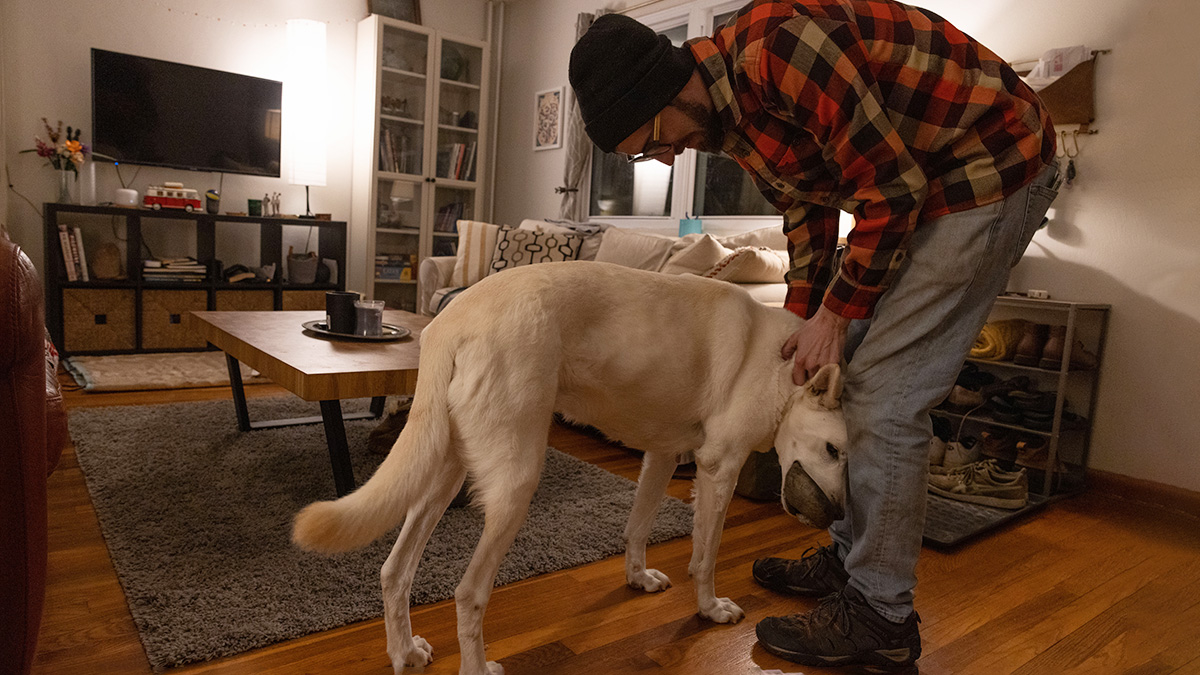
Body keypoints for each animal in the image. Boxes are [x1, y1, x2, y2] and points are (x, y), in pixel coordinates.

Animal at [294, 260, 849, 667]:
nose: (836, 519)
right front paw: (710, 609)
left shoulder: (662, 456)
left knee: (395, 571)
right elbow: (705, 557)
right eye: (833, 451)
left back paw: (405, 651)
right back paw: (477, 666)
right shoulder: (719, 468)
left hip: (444, 473)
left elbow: (638, 527)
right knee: (469, 593)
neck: (783, 370)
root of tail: (450, 322)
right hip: (515, 482)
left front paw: (638, 578)